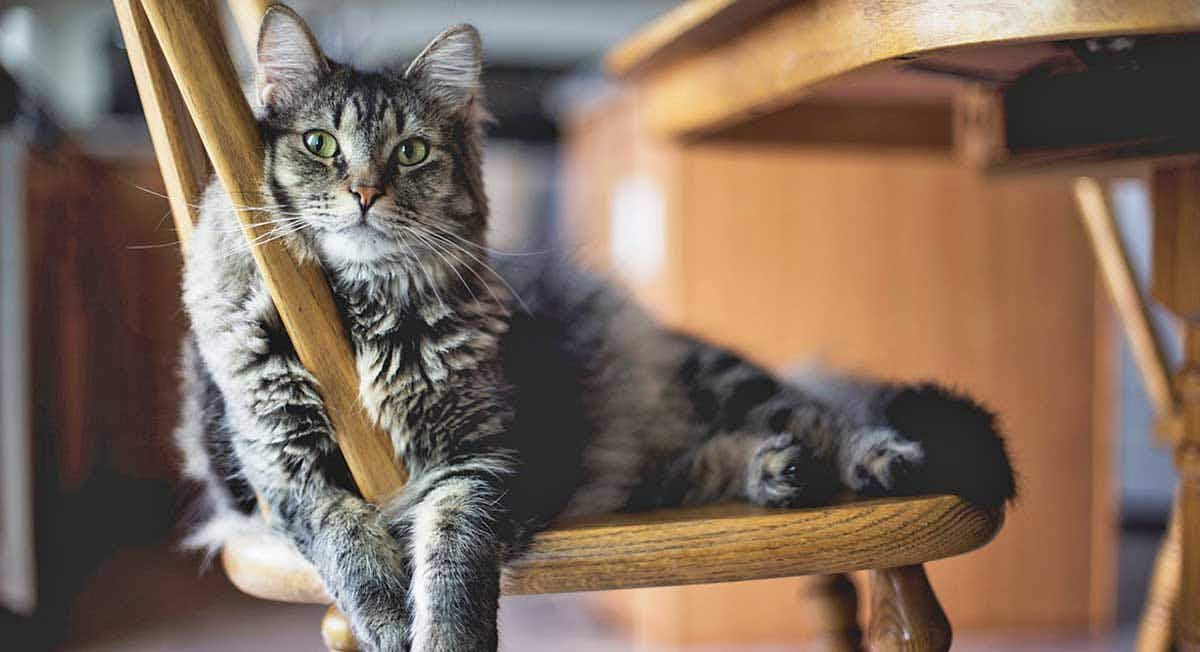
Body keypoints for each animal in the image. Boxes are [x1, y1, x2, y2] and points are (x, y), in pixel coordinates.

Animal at [177, 6, 1017, 652]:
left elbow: (452, 562)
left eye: (411, 152)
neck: (359, 312)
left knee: (823, 415)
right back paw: (776, 472)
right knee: (719, 455)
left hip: (725, 384)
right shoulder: (282, 467)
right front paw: (387, 622)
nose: (363, 192)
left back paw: (876, 460)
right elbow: (346, 545)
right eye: (320, 143)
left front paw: (442, 636)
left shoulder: (480, 460)